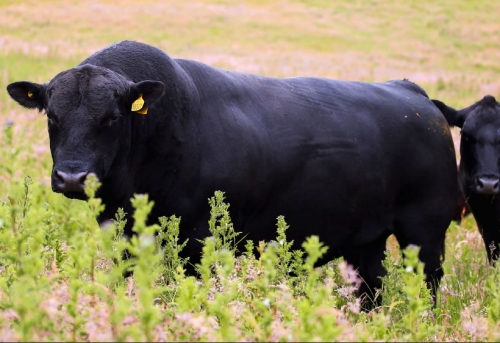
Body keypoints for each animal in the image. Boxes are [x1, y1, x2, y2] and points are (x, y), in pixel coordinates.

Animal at [6, 41, 458, 306]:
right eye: (52, 116)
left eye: (111, 119)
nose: (72, 177)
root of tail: (411, 92)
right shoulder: (123, 236)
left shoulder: (197, 239)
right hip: (365, 240)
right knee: (371, 289)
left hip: (425, 230)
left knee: (428, 285)